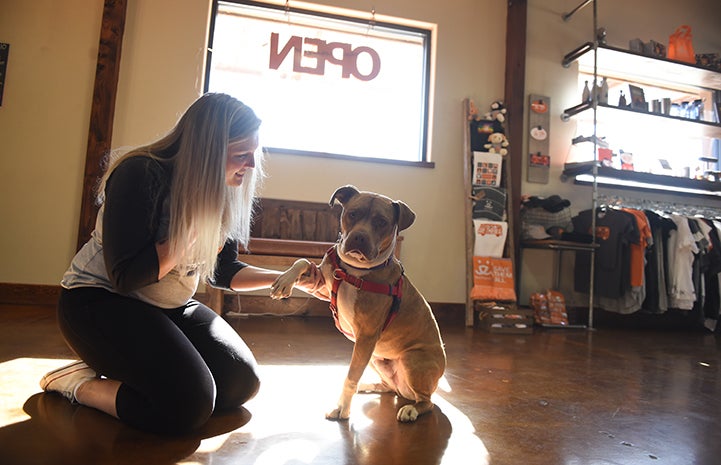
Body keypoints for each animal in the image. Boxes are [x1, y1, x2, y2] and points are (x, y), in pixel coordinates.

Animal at [270, 185, 444, 420]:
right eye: (352, 214)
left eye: (381, 222)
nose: (359, 238)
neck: (354, 270)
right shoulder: (321, 285)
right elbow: (303, 261)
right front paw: (285, 280)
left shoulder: (365, 337)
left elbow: (351, 375)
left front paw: (342, 407)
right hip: (375, 357)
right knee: (390, 387)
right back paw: (368, 386)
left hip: (410, 360)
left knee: (427, 401)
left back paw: (412, 409)